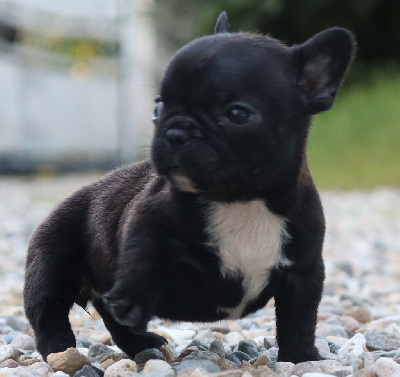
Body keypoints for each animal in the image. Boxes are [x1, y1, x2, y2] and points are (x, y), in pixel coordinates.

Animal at [24, 12, 356, 364]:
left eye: (237, 114)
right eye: (158, 107)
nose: (176, 131)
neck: (241, 200)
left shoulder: (303, 272)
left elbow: (299, 318)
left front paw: (301, 358)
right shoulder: (148, 220)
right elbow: (143, 256)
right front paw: (131, 299)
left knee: (109, 318)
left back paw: (143, 344)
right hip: (51, 258)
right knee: (49, 310)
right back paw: (62, 351)